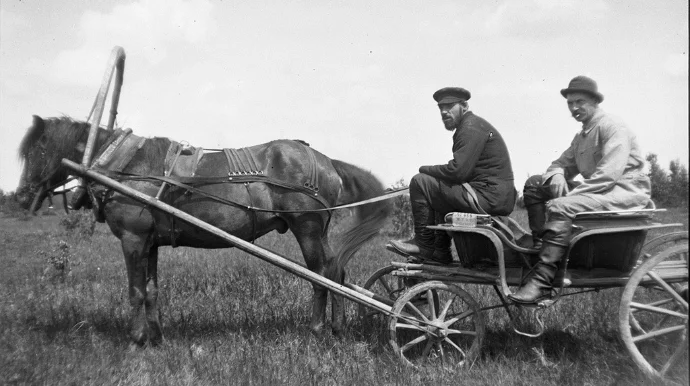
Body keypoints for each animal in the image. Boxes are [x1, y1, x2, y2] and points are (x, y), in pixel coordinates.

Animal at [16, 115, 390, 346]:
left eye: (39, 149)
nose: (20, 196)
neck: (125, 167)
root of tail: (325, 160)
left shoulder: (133, 239)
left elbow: (135, 290)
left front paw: (136, 339)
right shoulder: (150, 242)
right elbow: (151, 289)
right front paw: (155, 337)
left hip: (307, 227)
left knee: (320, 275)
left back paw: (316, 330)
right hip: (320, 230)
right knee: (336, 270)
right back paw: (337, 328)